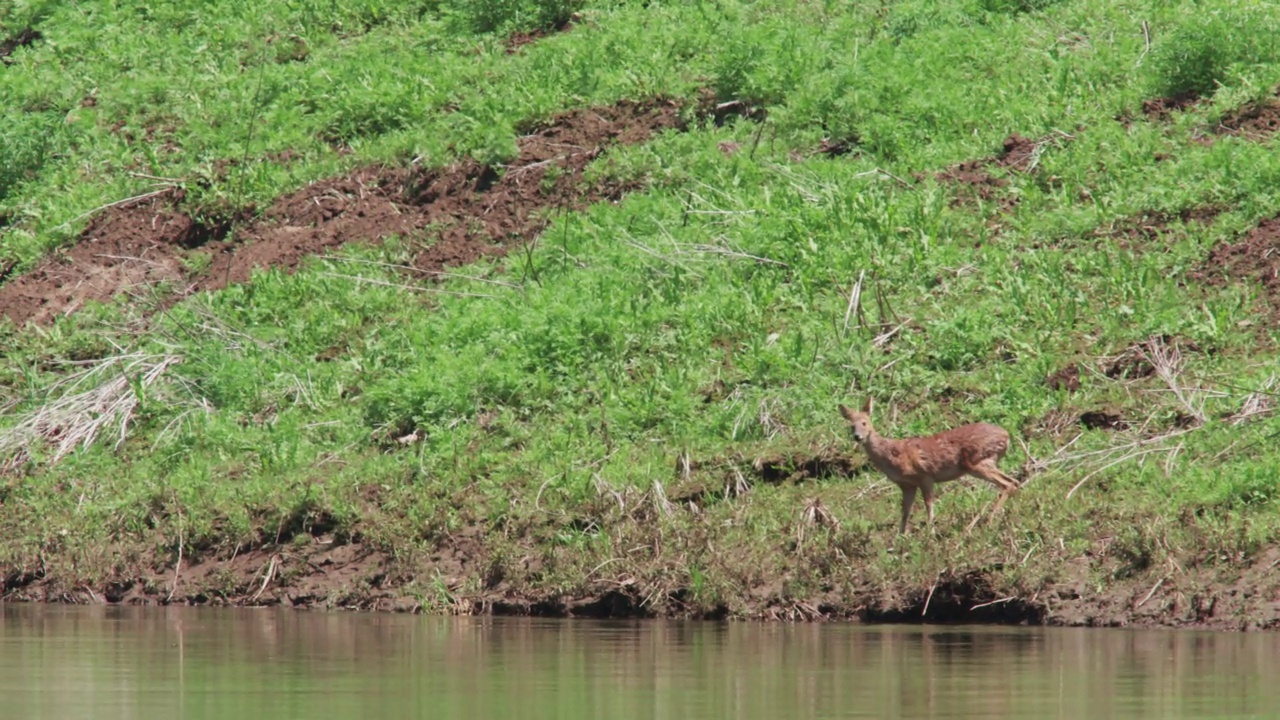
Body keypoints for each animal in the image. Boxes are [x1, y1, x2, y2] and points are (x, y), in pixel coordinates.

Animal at [839, 397, 1018, 532]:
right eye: (851, 425)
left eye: (864, 422)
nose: (857, 436)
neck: (890, 455)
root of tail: (1007, 436)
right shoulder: (907, 484)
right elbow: (905, 510)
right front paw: (901, 535)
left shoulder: (925, 475)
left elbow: (929, 504)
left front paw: (930, 531)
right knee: (1014, 482)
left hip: (977, 461)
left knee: (1008, 483)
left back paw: (989, 520)